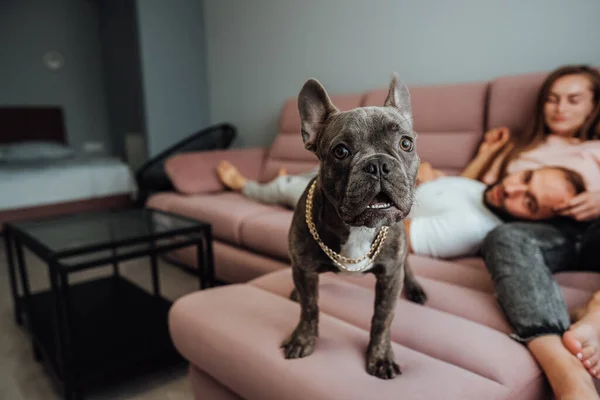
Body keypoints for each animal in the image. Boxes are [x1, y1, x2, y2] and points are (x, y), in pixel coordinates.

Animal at [282, 74, 426, 378]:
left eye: (406, 143)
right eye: (341, 151)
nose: (378, 164)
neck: (359, 229)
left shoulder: (390, 276)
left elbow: (382, 319)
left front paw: (380, 356)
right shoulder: (304, 269)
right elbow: (310, 308)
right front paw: (303, 339)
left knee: (408, 266)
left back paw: (415, 288)